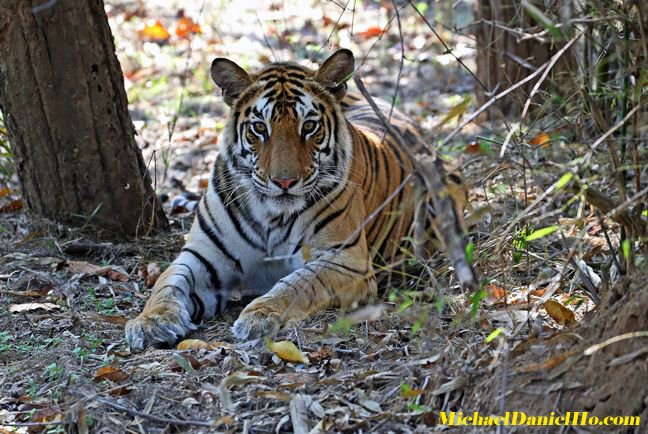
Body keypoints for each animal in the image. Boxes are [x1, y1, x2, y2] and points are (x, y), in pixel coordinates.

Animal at [124, 48, 454, 352]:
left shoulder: (345, 259)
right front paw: (152, 322)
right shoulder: (202, 255)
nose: (284, 182)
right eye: (259, 127)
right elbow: (168, 283)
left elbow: (299, 284)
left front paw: (260, 315)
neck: (269, 215)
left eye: (309, 126)